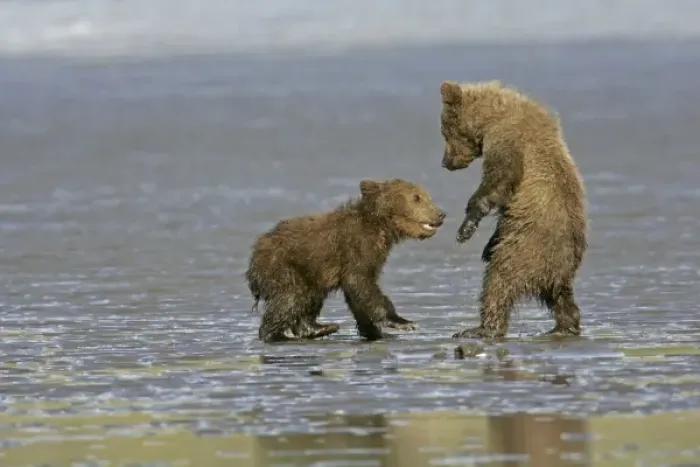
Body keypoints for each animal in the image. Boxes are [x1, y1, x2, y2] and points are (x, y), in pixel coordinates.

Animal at [245, 178, 447, 343]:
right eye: (416, 197)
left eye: (426, 196)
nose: (441, 214)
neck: (380, 226)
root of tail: (254, 257)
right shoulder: (357, 248)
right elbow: (361, 283)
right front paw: (403, 322)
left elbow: (358, 294)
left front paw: (375, 332)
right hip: (283, 265)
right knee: (291, 298)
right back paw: (277, 335)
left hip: (309, 271)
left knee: (309, 297)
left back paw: (319, 328)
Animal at [438, 80, 588, 339]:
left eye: (444, 131)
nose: (445, 162)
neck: (492, 117)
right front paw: (485, 244)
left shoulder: (508, 140)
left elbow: (498, 182)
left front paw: (465, 228)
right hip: (551, 264)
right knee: (561, 297)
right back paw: (564, 326)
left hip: (526, 248)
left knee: (499, 281)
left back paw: (480, 329)